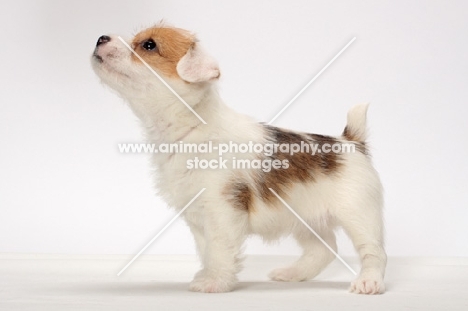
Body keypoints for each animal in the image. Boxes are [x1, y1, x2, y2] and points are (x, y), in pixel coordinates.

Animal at [91, 23, 388, 294]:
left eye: (149, 45)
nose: (100, 37)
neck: (191, 128)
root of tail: (351, 141)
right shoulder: (198, 215)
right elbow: (207, 249)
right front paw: (207, 274)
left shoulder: (221, 211)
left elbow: (219, 248)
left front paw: (215, 282)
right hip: (305, 219)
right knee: (324, 250)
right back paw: (292, 274)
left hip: (359, 215)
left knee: (373, 251)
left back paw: (369, 282)